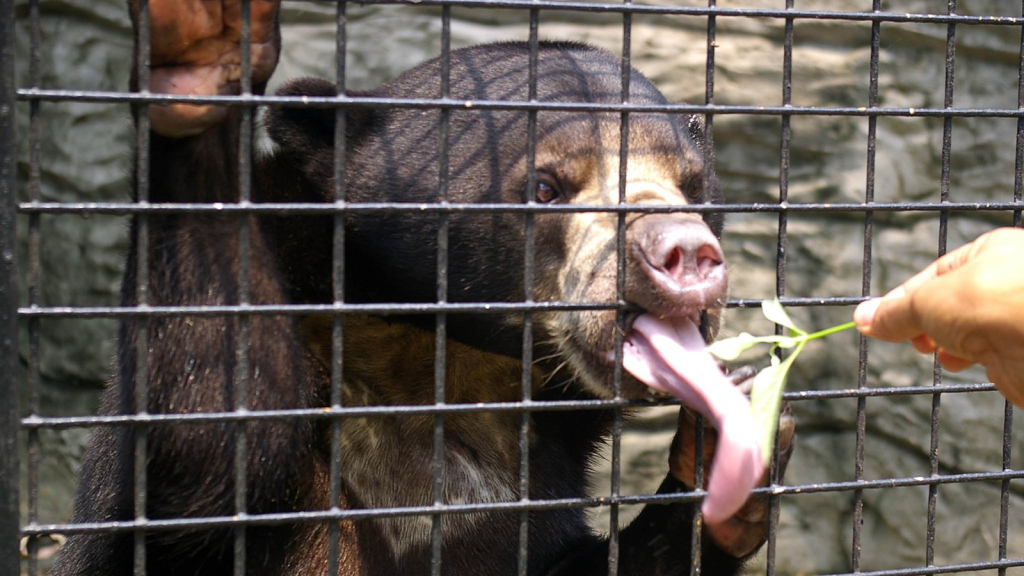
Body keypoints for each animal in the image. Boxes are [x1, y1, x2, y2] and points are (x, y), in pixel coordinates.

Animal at [49, 1, 790, 573]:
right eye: (546, 186)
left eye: (694, 186)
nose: (683, 254)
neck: (448, 358)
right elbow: (206, 456)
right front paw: (203, 56)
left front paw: (730, 448)